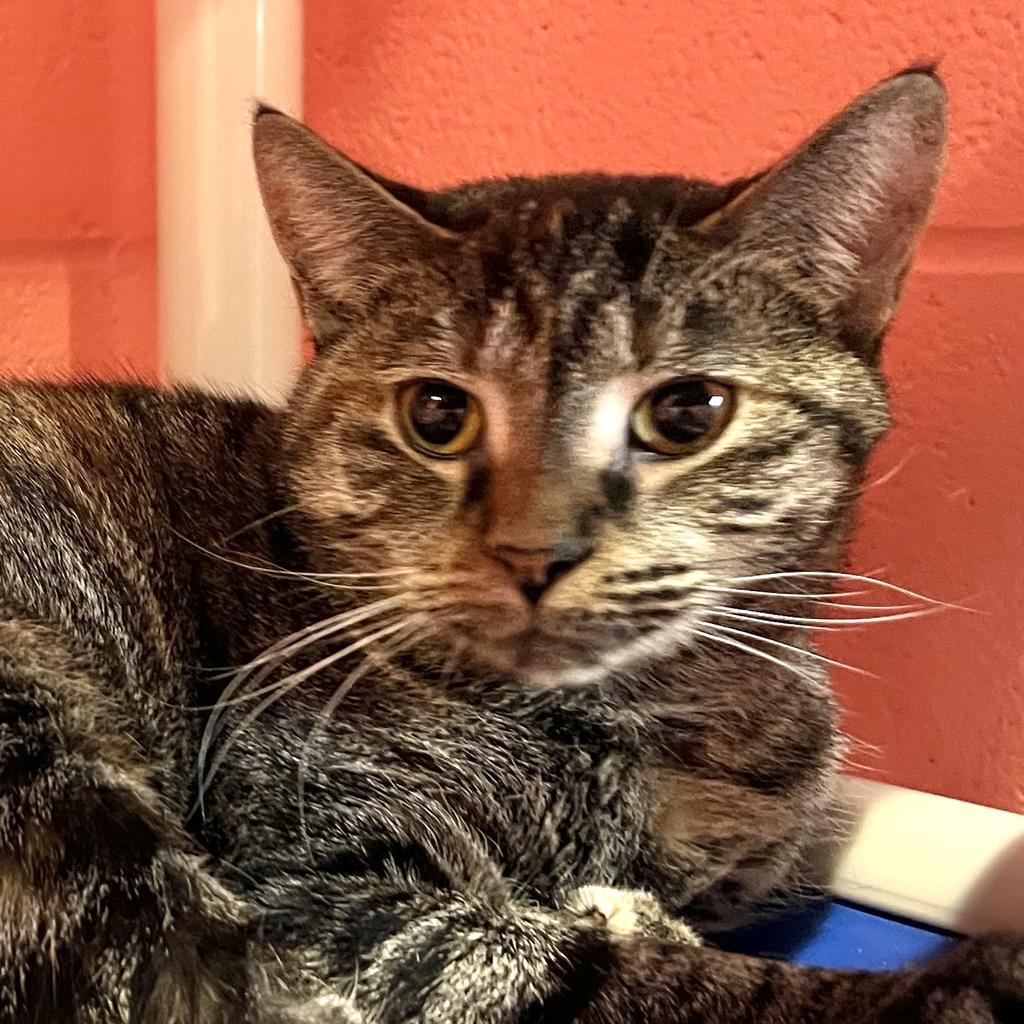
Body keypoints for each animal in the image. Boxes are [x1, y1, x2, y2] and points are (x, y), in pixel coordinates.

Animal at [0, 68, 1019, 1019]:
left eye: (687, 413)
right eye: (437, 414)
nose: (535, 554)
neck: (639, 729)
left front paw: (632, 908)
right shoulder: (325, 883)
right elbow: (612, 972)